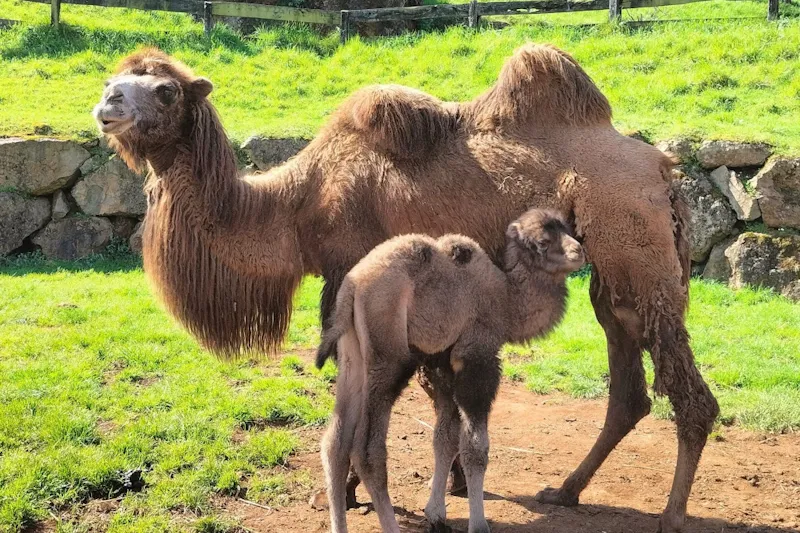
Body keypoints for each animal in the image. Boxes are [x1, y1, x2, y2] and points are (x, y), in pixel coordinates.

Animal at [317, 208, 585, 533]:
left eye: (567, 229)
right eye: (543, 242)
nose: (579, 252)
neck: (507, 299)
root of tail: (353, 286)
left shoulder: (442, 363)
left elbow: (444, 437)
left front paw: (436, 514)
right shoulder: (477, 356)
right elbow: (474, 447)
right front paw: (478, 524)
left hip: (352, 357)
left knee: (335, 443)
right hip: (389, 357)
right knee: (368, 451)